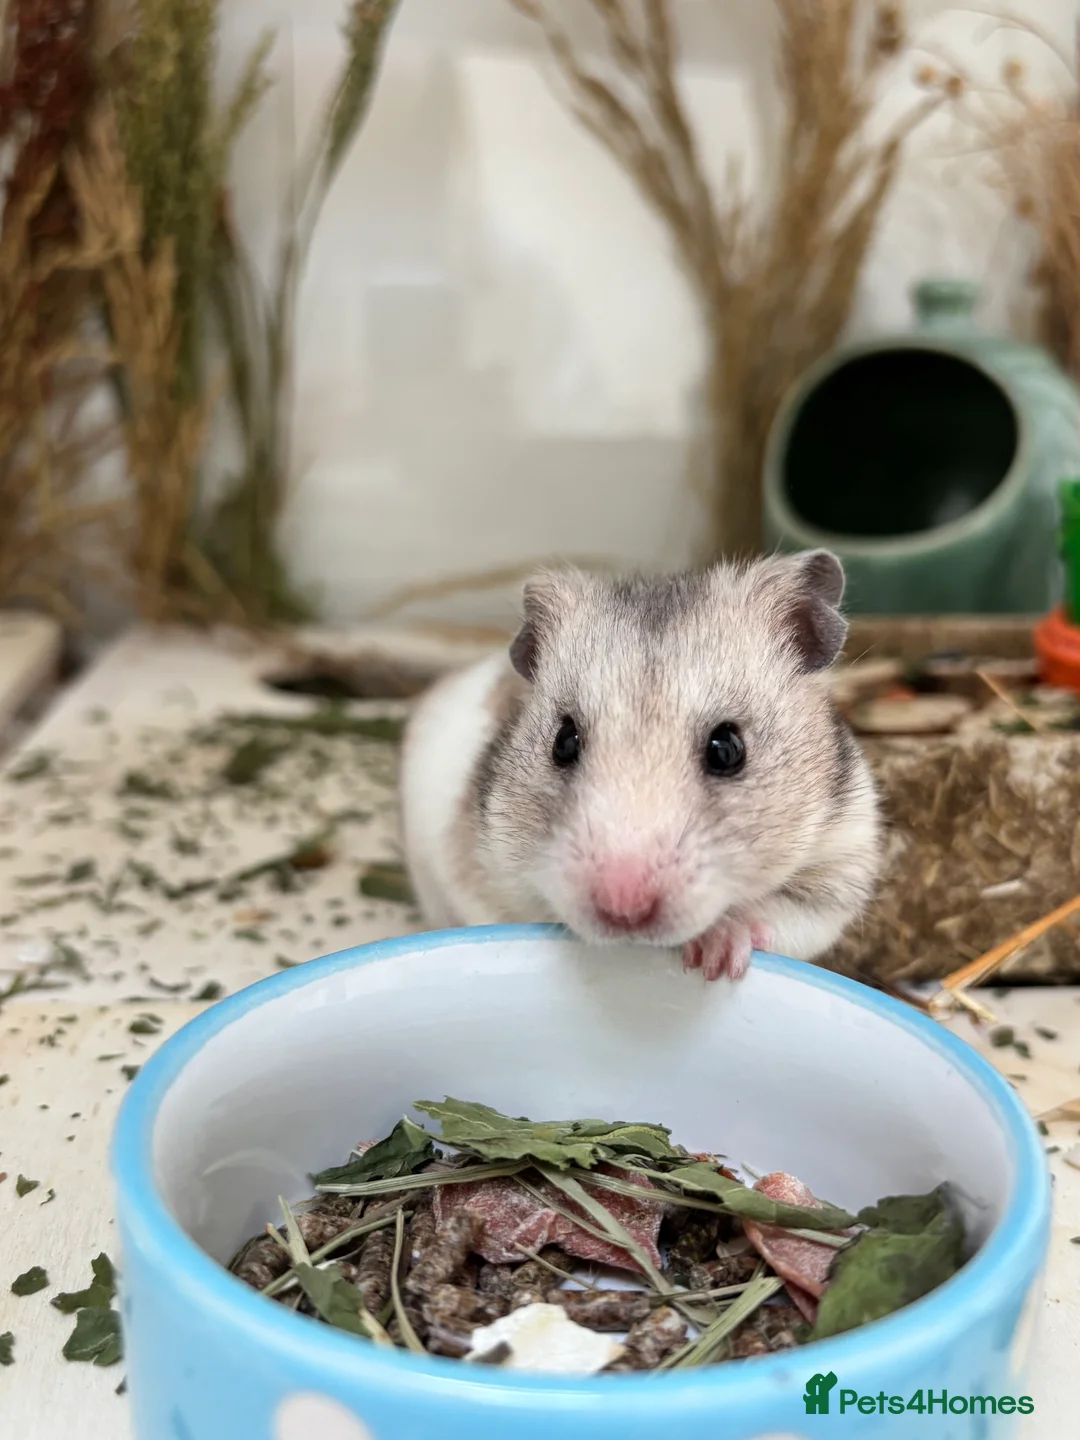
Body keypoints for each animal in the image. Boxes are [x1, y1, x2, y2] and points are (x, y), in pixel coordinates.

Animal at [399, 549, 881, 981]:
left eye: (728, 749)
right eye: (563, 742)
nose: (623, 909)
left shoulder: (840, 864)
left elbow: (779, 915)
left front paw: (716, 954)